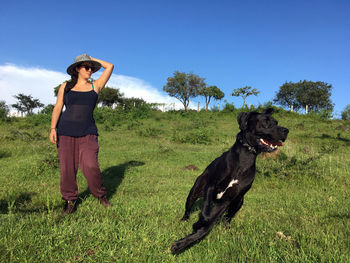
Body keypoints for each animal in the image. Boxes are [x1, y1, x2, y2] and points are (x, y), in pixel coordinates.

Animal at [171, 108, 288, 255]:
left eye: (276, 122)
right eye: (266, 122)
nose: (286, 130)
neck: (244, 159)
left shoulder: (227, 200)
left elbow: (208, 223)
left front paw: (184, 242)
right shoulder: (210, 186)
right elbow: (205, 215)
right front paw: (192, 231)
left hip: (239, 201)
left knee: (227, 218)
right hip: (193, 192)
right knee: (188, 209)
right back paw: (184, 220)